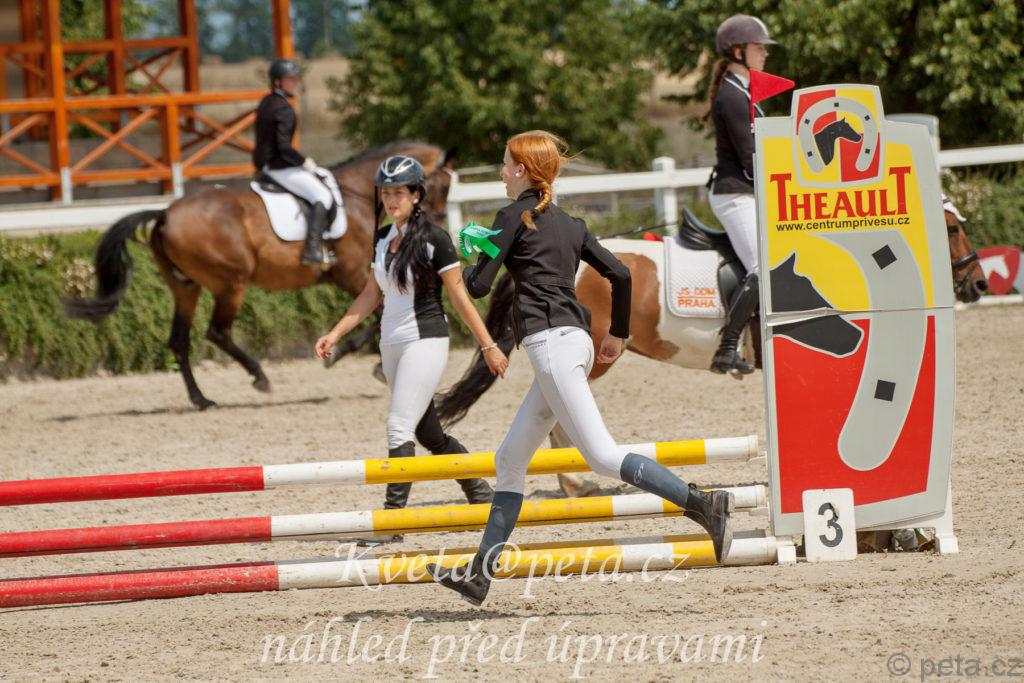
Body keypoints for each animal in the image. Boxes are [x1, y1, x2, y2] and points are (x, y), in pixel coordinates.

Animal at [65, 141, 455, 410]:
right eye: (444, 185)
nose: (435, 224)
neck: (357, 195)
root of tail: (165, 214)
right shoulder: (351, 274)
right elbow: (376, 318)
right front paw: (351, 358)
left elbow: (376, 318)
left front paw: (350, 357)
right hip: (230, 283)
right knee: (218, 332)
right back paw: (259, 377)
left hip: (185, 287)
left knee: (179, 340)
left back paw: (201, 399)